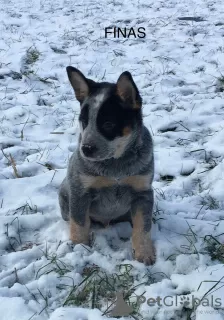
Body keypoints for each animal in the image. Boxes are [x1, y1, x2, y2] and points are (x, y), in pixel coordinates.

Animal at [58, 66, 155, 264]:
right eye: (84, 121)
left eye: (108, 124)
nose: (86, 149)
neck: (115, 166)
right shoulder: (80, 191)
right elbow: (79, 223)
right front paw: (79, 248)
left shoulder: (142, 192)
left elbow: (143, 227)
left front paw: (144, 253)